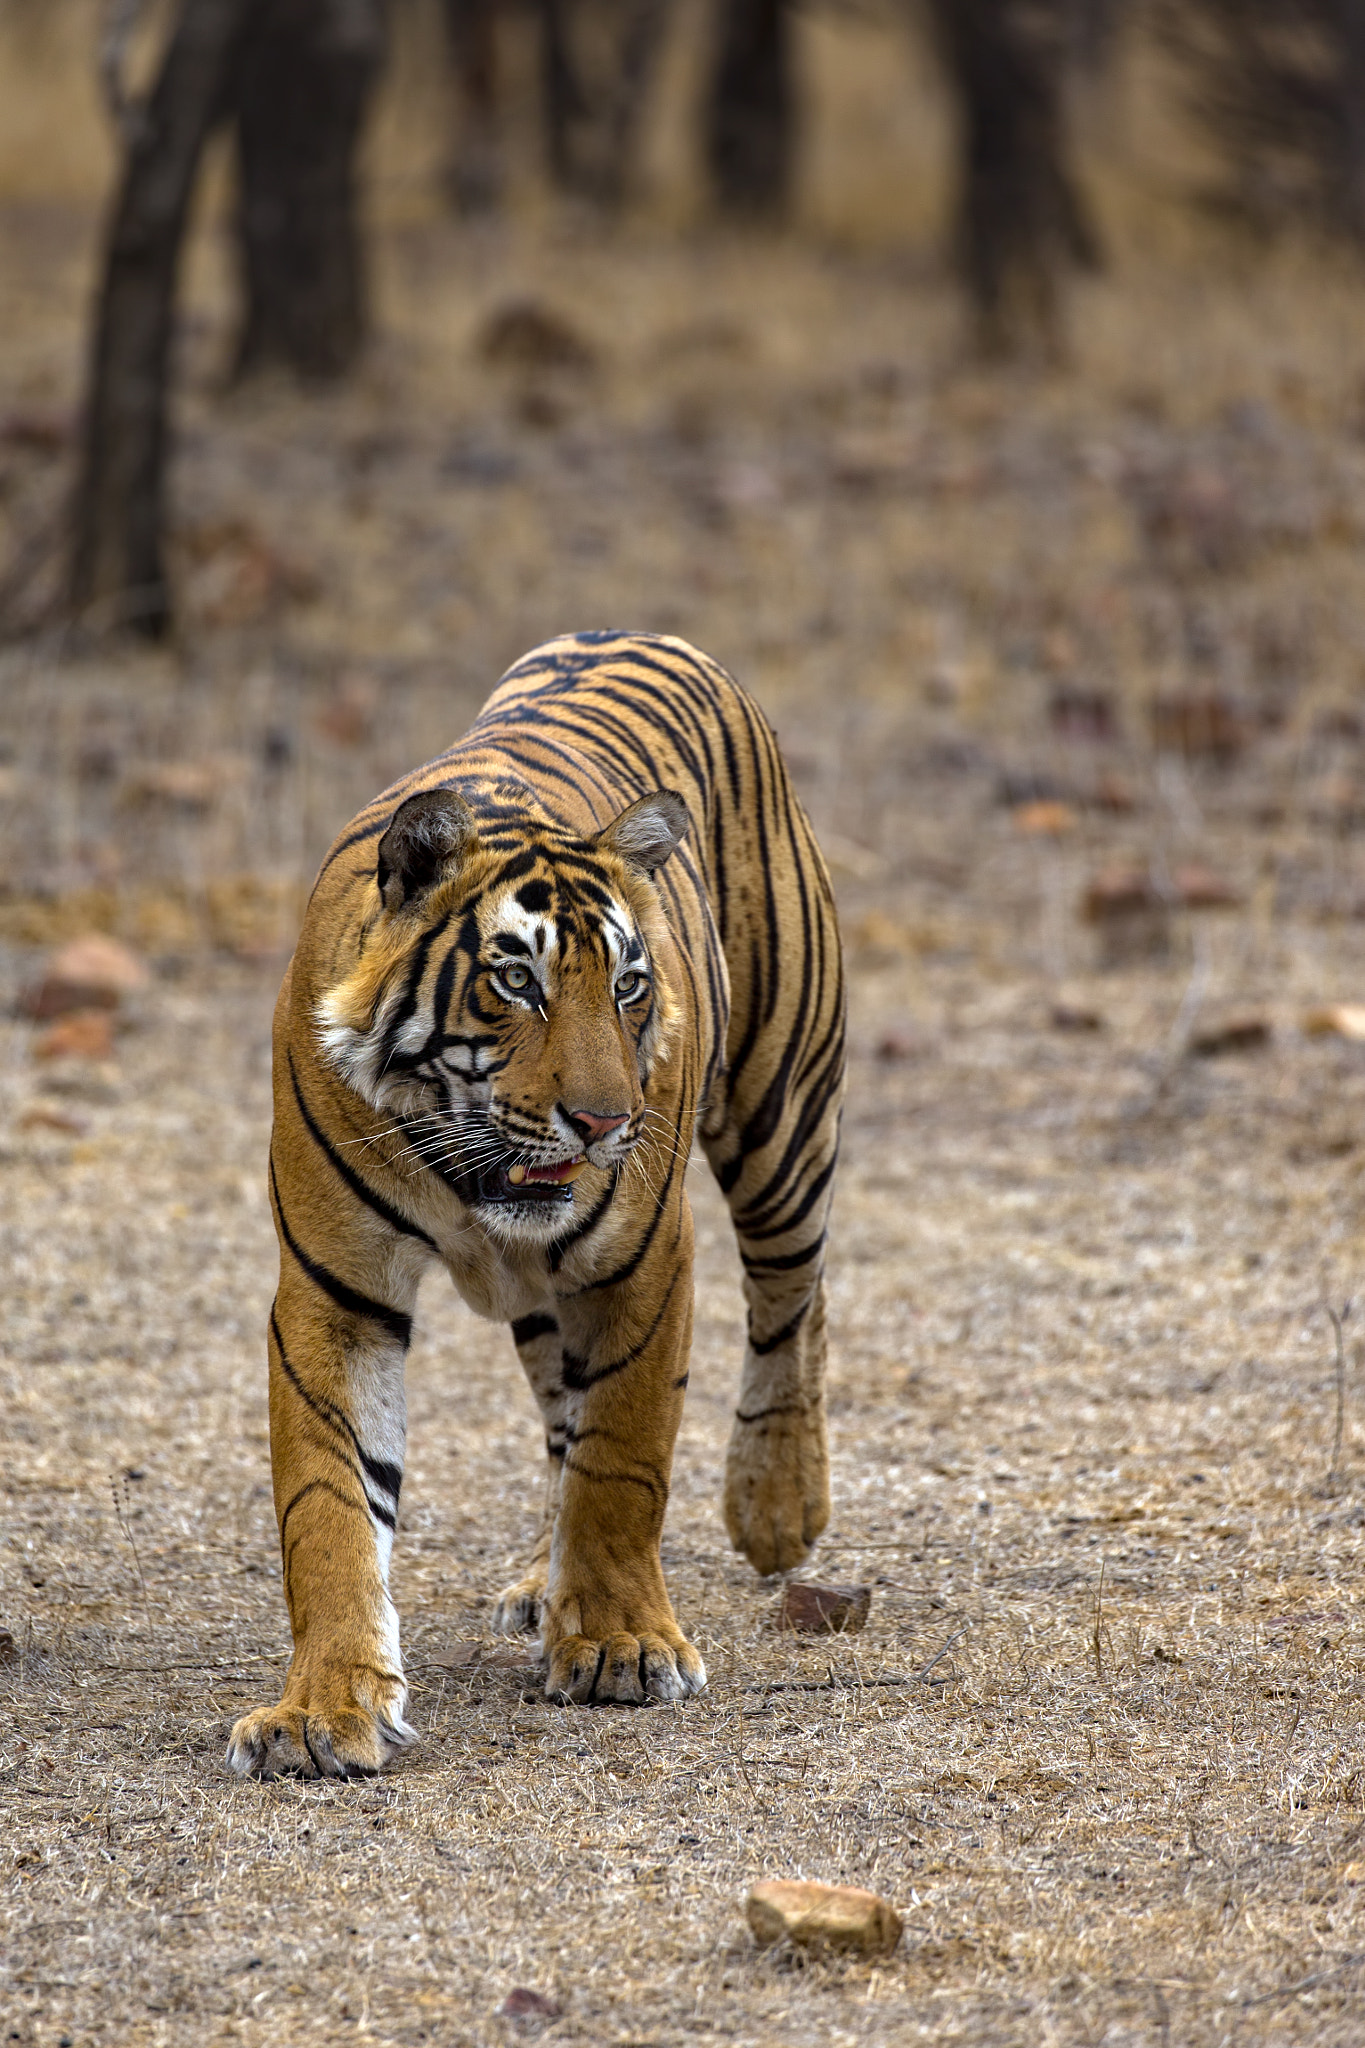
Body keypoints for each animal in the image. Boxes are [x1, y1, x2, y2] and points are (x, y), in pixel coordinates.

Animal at [227, 630, 846, 1779]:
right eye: (517, 981)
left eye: (630, 986)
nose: (605, 1123)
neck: (457, 1163)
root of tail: (647, 630)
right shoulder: (335, 1294)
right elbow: (328, 1505)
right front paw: (321, 1709)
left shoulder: (646, 1264)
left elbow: (623, 1458)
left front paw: (620, 1644)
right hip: (545, 1297)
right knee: (563, 1411)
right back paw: (539, 1580)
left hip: (781, 1115)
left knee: (795, 1301)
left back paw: (776, 1503)